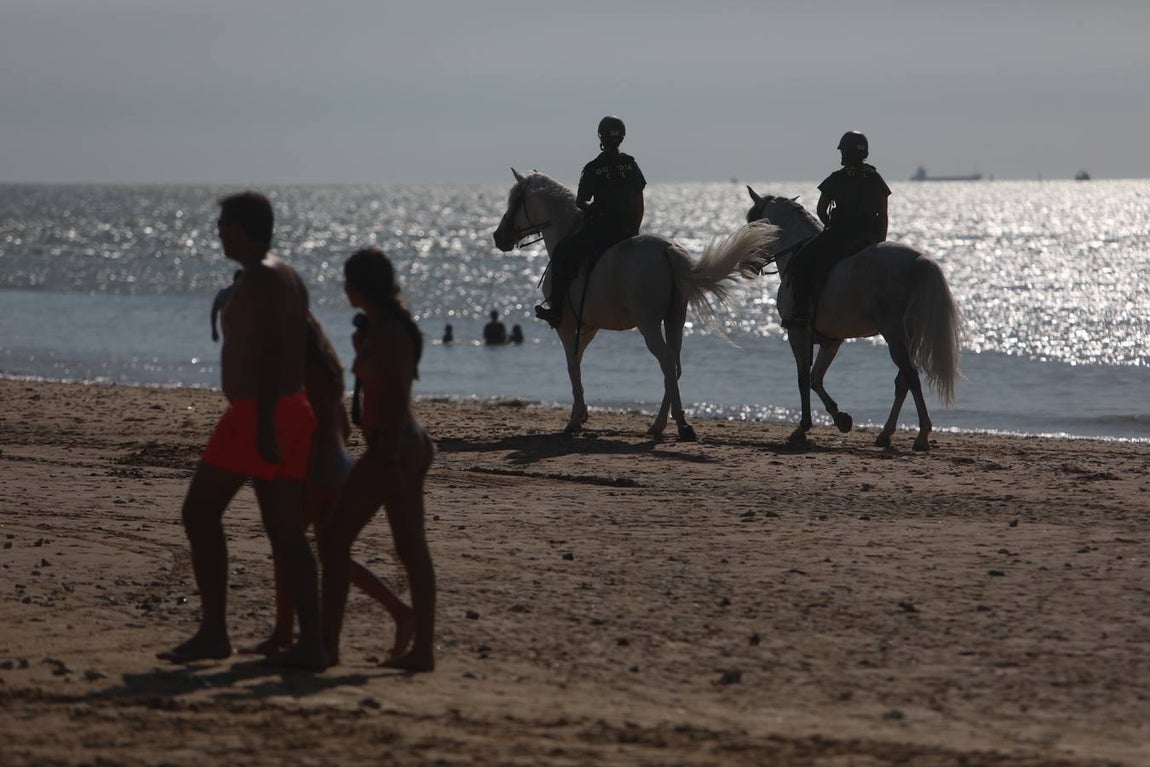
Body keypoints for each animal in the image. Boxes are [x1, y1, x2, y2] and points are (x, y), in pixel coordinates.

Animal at [492, 169, 777, 440]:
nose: (498, 236)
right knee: (674, 365)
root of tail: (667, 250)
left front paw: (575, 420)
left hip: (648, 323)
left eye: (515, 201)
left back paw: (680, 425)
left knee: (666, 362)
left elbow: (572, 366)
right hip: (675, 319)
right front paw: (580, 416)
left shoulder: (567, 325)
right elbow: (577, 363)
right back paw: (660, 424)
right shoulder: (589, 327)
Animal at [745, 186, 962, 451]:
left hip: (893, 334)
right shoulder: (831, 341)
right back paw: (886, 434)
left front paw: (803, 427)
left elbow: (803, 379)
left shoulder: (798, 334)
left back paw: (921, 435)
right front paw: (841, 419)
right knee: (903, 380)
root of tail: (918, 261)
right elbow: (815, 378)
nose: (748, 264)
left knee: (910, 376)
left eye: (751, 221)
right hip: (905, 336)